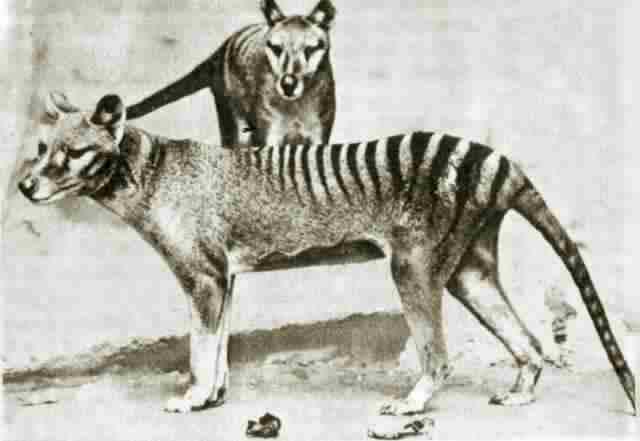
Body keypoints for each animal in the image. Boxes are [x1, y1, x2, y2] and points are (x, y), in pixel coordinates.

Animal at [19, 92, 637, 418]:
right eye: (42, 148)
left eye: (72, 152)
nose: (24, 186)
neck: (151, 170)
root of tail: (499, 161)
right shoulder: (225, 277)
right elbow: (219, 343)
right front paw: (214, 395)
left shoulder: (203, 277)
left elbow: (200, 345)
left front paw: (191, 397)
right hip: (469, 272)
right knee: (528, 342)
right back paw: (520, 391)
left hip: (413, 267)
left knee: (439, 356)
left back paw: (411, 406)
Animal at [126, 0, 337, 148]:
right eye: (276, 48)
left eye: (310, 49)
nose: (288, 84)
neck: (295, 106)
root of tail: (223, 47)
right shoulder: (270, 136)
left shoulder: (318, 136)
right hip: (235, 123)